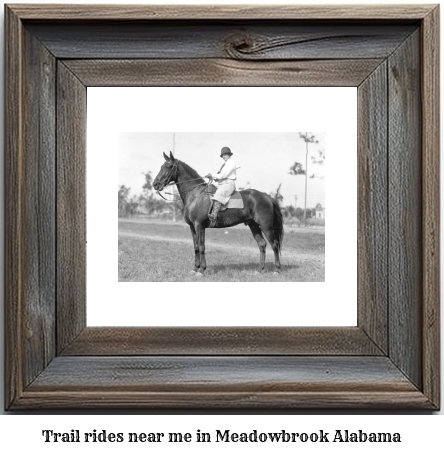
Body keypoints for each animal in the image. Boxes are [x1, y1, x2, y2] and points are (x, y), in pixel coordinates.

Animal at [153, 151, 284, 276]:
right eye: (161, 166)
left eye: (169, 166)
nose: (155, 184)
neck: (196, 195)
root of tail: (267, 197)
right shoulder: (192, 227)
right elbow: (196, 247)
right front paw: (195, 269)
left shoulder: (199, 226)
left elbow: (202, 246)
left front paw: (201, 270)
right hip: (254, 226)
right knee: (262, 244)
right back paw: (260, 269)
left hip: (266, 227)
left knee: (274, 245)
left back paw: (277, 270)